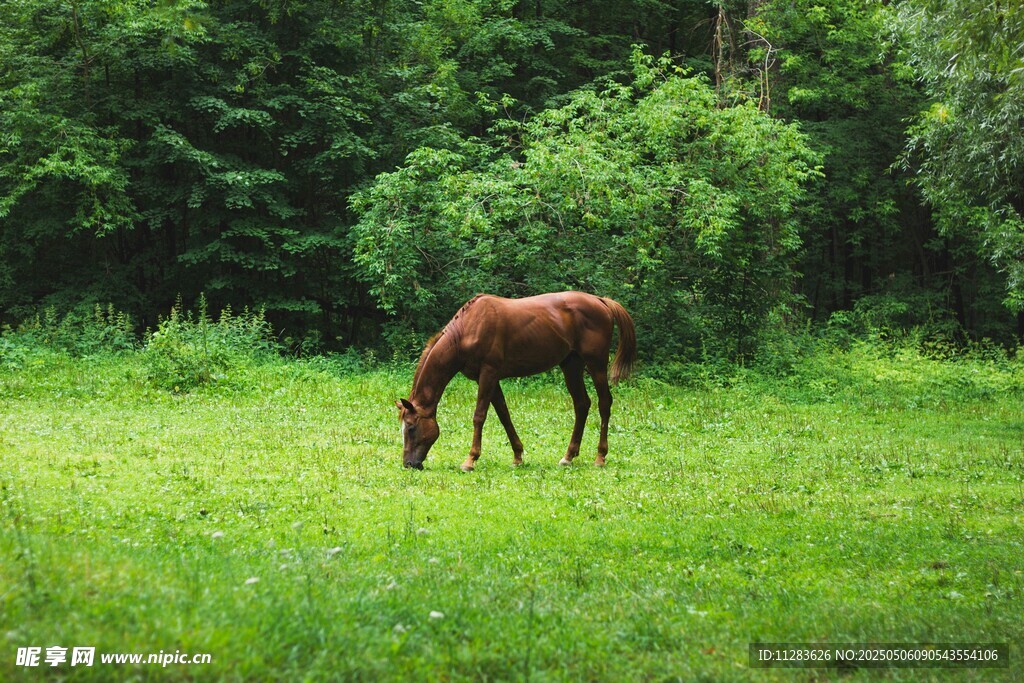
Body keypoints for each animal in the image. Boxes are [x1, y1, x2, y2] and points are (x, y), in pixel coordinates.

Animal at [396, 291, 636, 471]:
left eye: (411, 428)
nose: (409, 464)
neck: (467, 329)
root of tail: (601, 301)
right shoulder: (489, 379)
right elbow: (504, 415)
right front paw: (518, 456)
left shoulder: (488, 374)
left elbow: (479, 416)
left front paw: (470, 460)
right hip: (571, 365)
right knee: (582, 404)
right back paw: (568, 456)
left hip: (596, 365)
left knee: (604, 403)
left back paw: (600, 457)